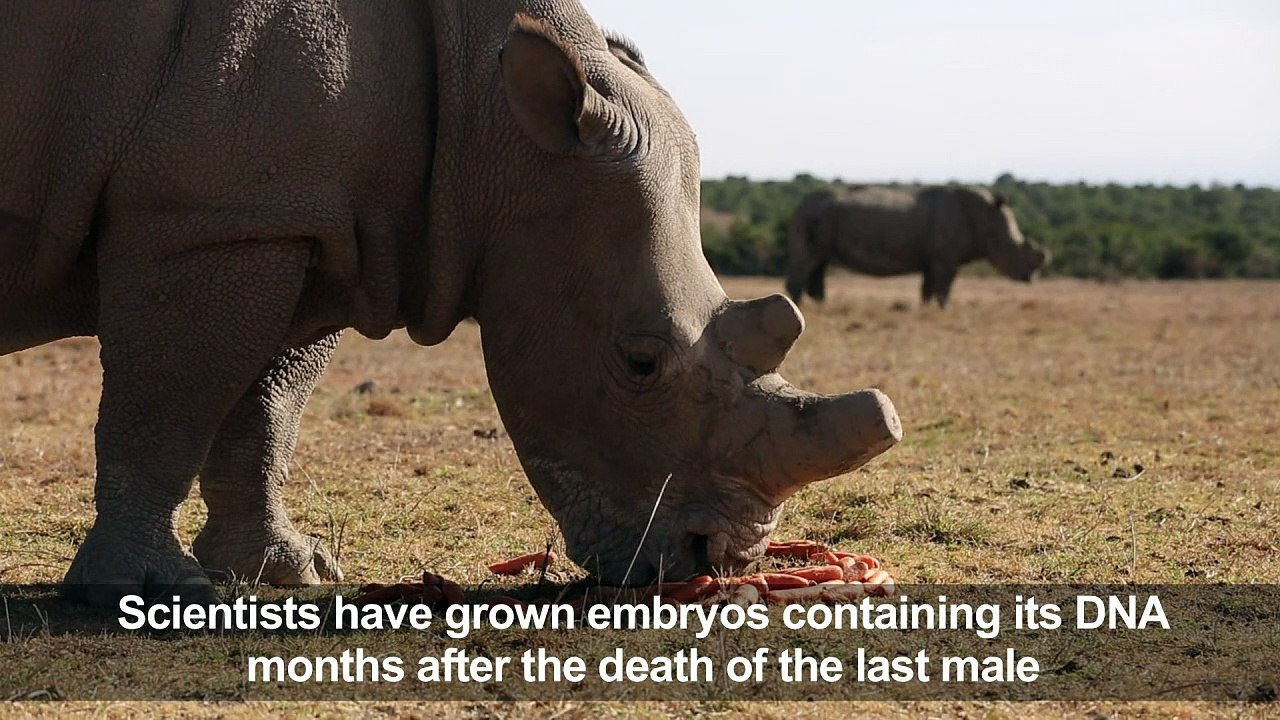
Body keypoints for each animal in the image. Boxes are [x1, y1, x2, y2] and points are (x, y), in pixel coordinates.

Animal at [0, 0, 901, 606]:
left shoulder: (295, 218)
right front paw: (151, 594)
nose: (716, 560)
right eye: (640, 361)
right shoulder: (205, 222)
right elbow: (167, 405)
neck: (487, 110)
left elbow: (266, 409)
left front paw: (286, 571)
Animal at [785, 186, 1050, 308]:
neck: (985, 217)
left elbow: (928, 288)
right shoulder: (946, 258)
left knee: (819, 263)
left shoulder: (934, 258)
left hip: (819, 216)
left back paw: (819, 305)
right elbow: (944, 286)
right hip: (813, 215)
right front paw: (946, 309)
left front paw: (926, 308)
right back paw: (800, 306)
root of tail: (799, 204)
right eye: (1012, 248)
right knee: (809, 259)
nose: (1030, 278)